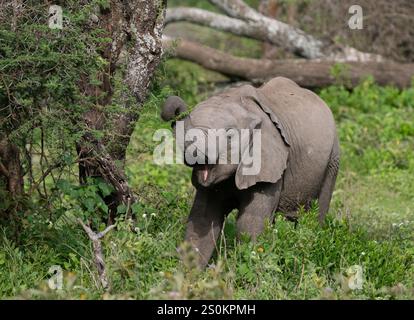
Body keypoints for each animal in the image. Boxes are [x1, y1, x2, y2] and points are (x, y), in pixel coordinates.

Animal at [160, 76, 338, 266]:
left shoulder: (269, 165)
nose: (175, 111)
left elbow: (249, 224)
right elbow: (202, 220)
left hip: (332, 160)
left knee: (316, 216)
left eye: (229, 135)